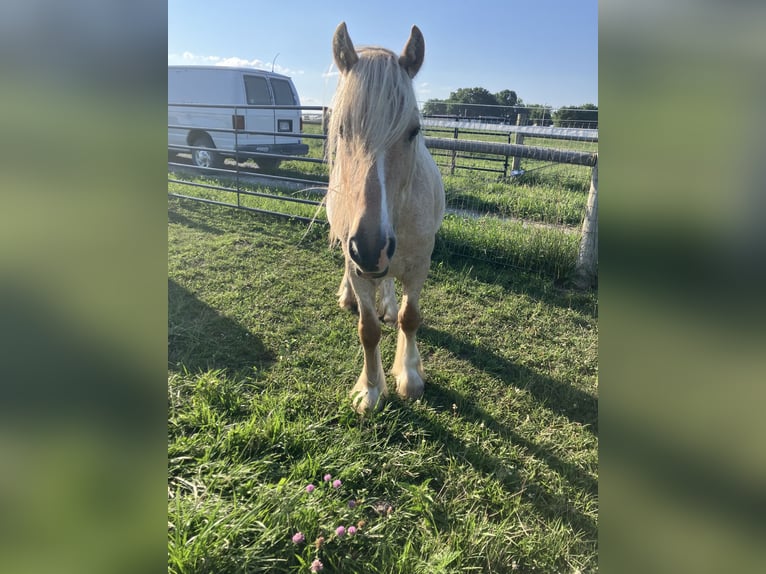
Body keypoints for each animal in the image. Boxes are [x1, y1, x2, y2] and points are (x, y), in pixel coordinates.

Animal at [326, 22, 445, 414]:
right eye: (342, 129)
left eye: (414, 130)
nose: (369, 247)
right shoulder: (357, 264)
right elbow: (368, 330)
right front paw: (371, 389)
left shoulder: (420, 263)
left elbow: (410, 318)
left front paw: (409, 375)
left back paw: (389, 304)